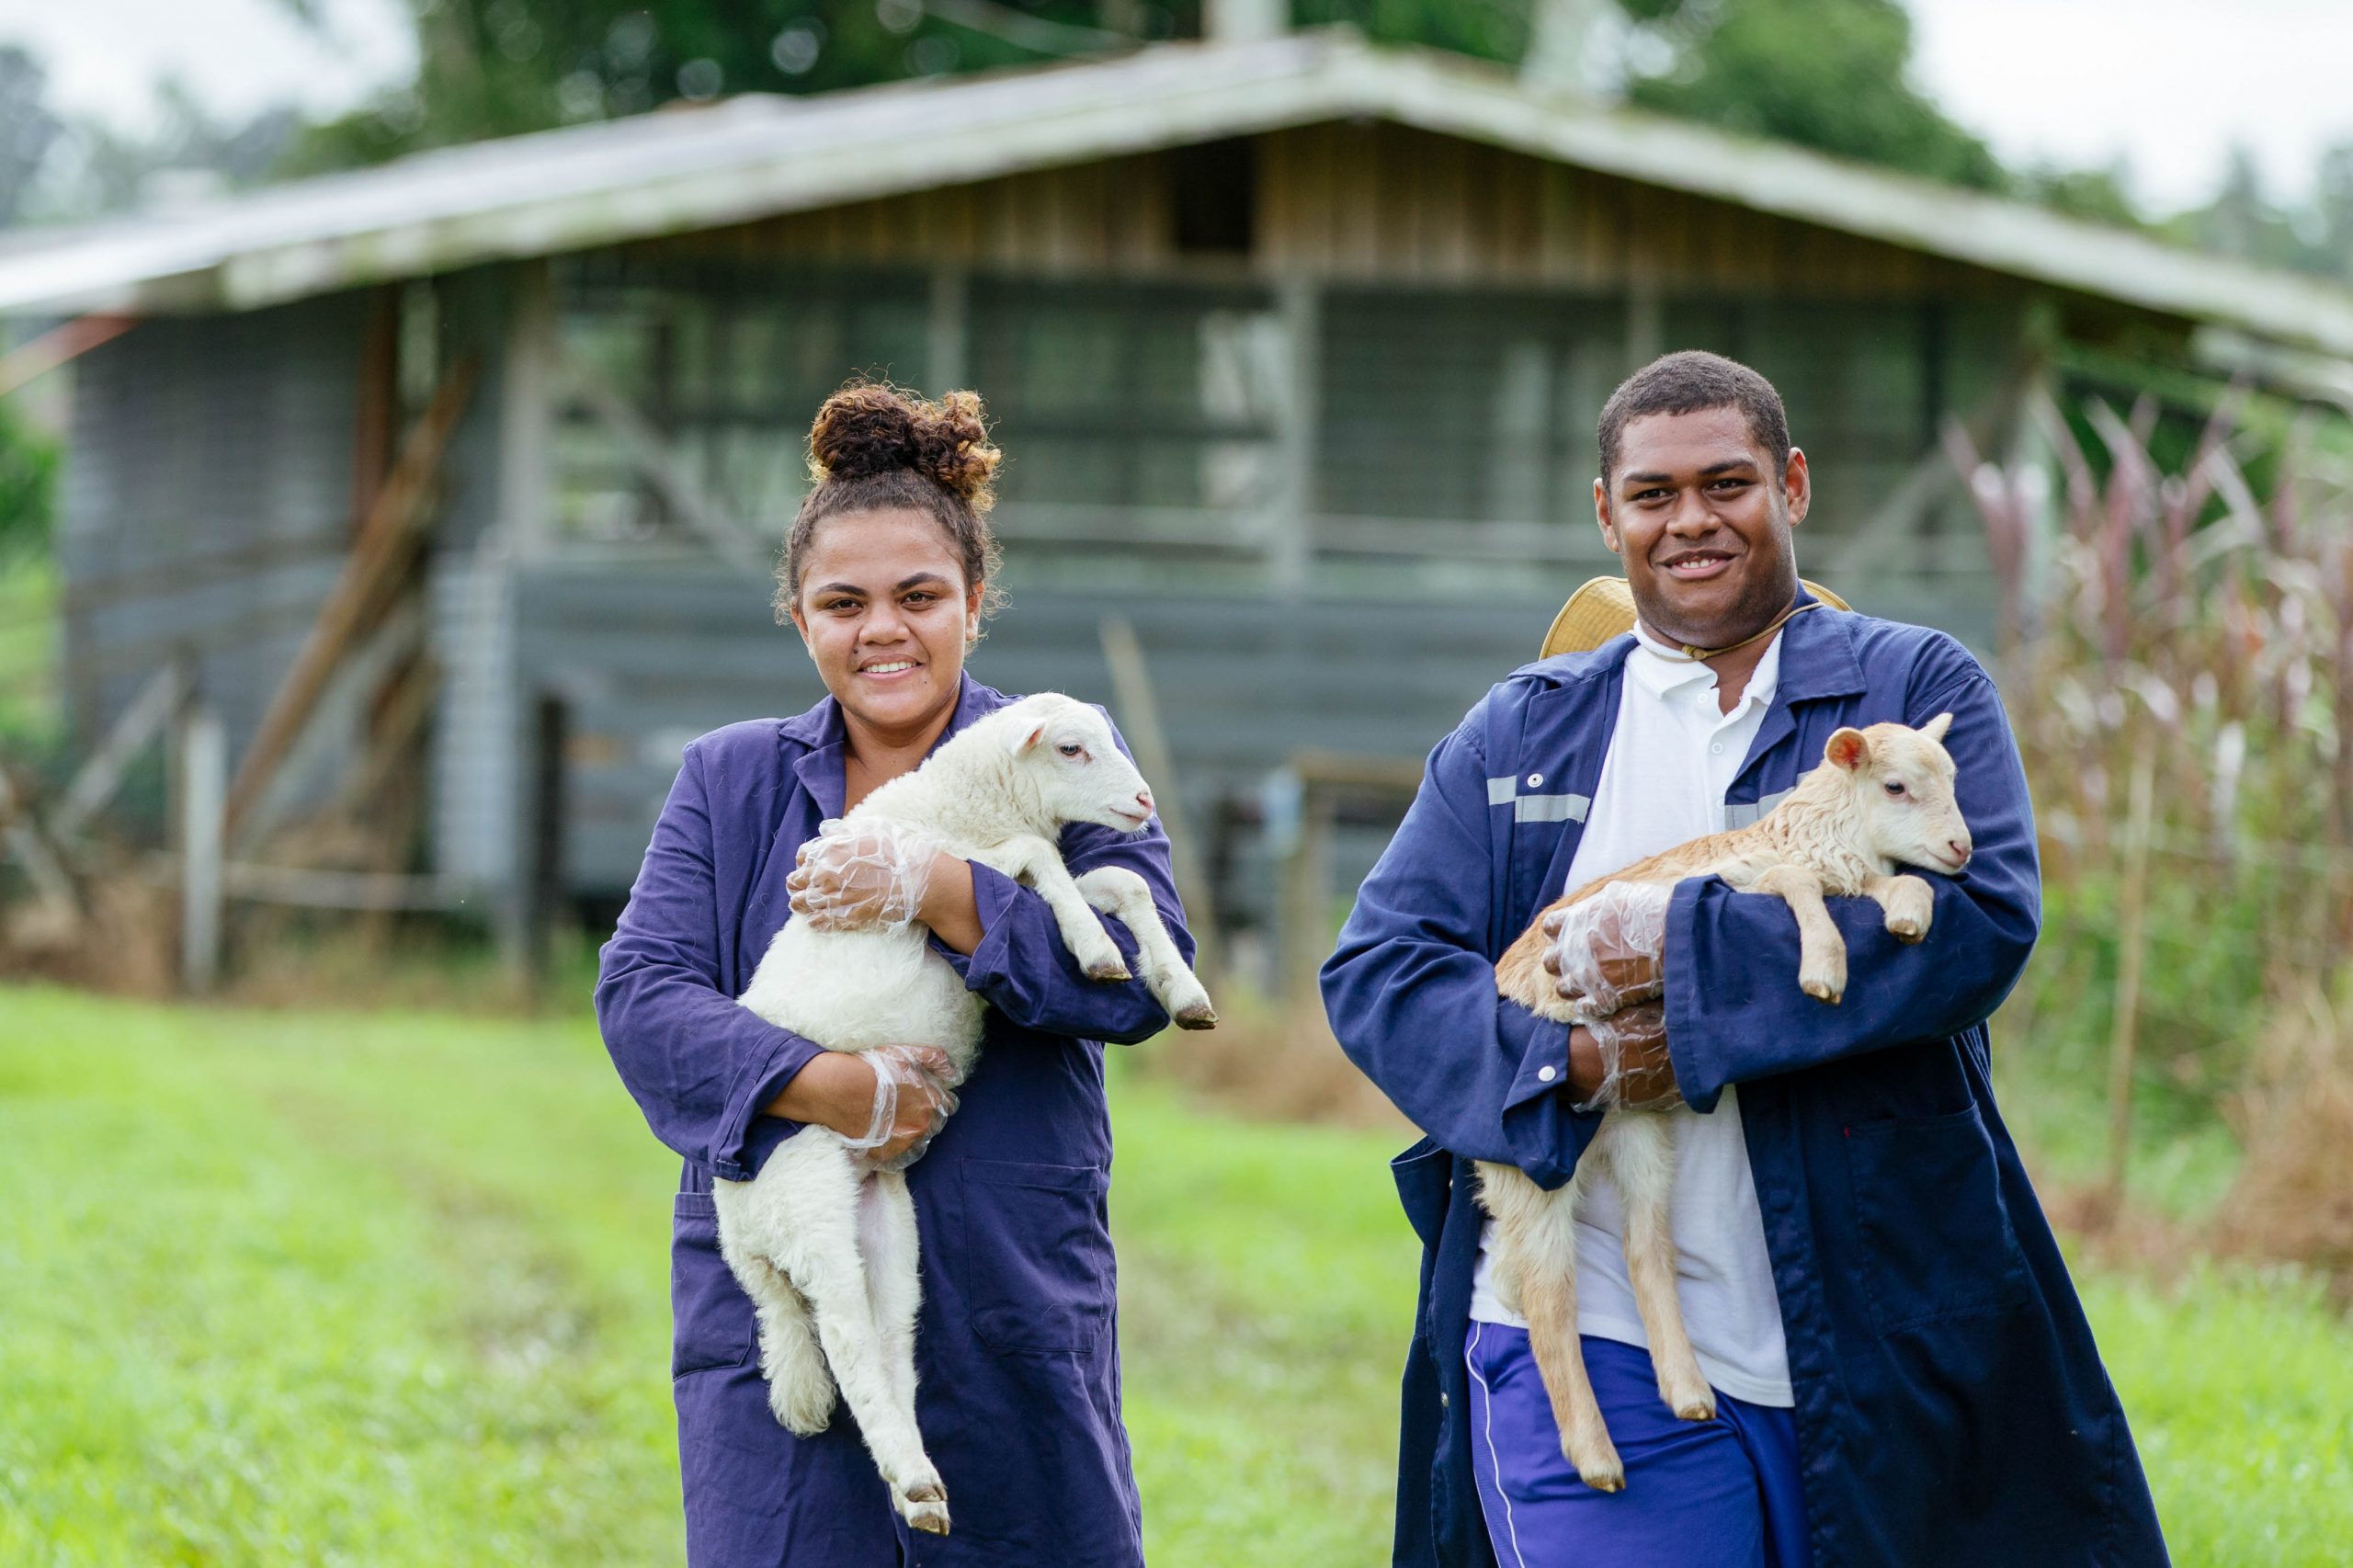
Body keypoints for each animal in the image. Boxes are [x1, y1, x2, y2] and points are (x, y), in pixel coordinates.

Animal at [715, 692, 1213, 1535]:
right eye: (1072, 749)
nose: (1144, 803)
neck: (960, 806)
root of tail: (740, 1237)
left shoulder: (1003, 870)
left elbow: (1122, 881)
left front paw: (1181, 990)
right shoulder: (985, 860)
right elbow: (1046, 860)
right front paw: (1096, 952)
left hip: (884, 1224)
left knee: (888, 1342)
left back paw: (916, 1488)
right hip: (807, 1196)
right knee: (845, 1339)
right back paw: (915, 1480)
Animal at [1486, 715, 1967, 1487]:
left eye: (1952, 778)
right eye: (1895, 786)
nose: (1962, 849)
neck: (1824, 835)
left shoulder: (1848, 872)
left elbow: (1896, 889)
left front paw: (1908, 919)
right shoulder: (1756, 875)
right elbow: (1797, 884)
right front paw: (1824, 969)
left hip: (1639, 1125)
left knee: (1645, 1247)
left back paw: (1687, 1394)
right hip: (1528, 1161)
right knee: (1549, 1297)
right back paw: (1596, 1457)